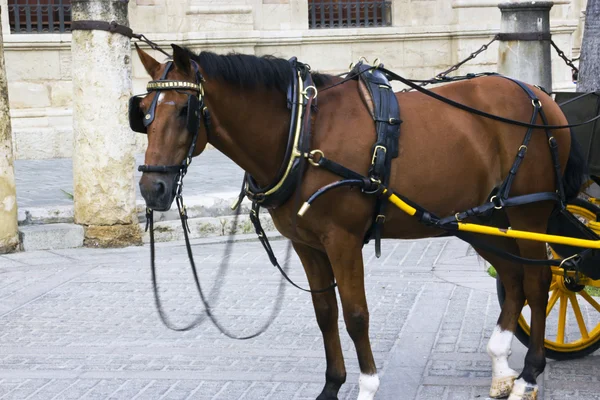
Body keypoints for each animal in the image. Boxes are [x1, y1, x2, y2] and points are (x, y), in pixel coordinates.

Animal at [132, 43, 584, 400]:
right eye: (143, 115)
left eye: (186, 110)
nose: (153, 189)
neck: (303, 132)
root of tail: (539, 94)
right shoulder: (307, 244)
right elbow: (325, 312)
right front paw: (332, 385)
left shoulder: (342, 240)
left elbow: (355, 314)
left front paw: (366, 386)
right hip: (487, 218)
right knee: (512, 277)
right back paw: (501, 365)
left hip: (527, 212)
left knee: (539, 281)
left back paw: (529, 374)